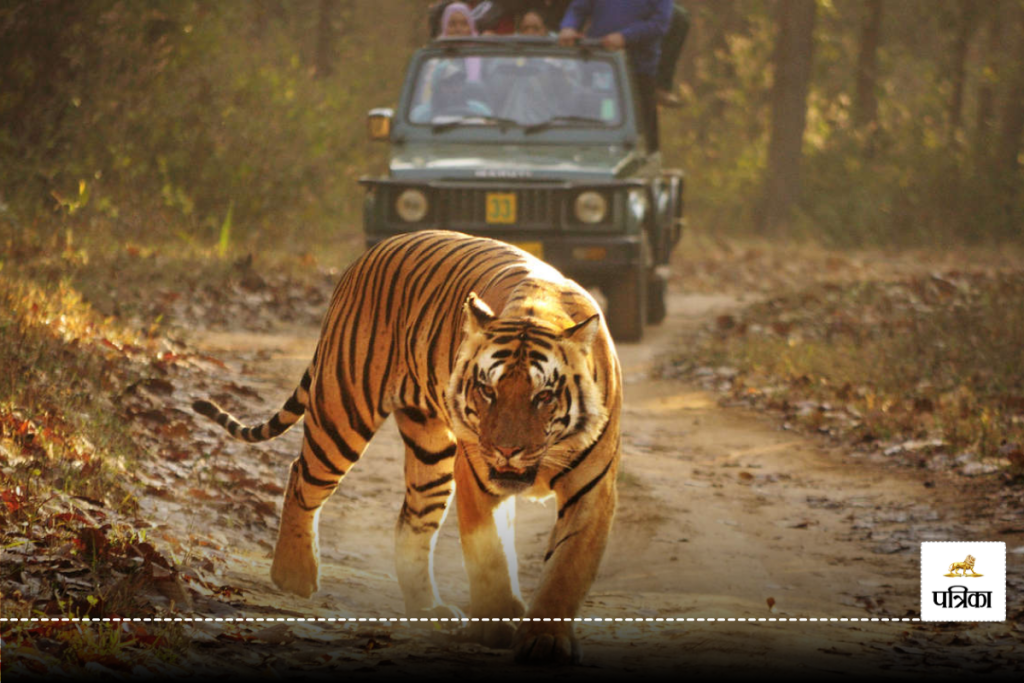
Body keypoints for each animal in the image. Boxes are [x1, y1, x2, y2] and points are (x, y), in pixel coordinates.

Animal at [192, 229, 622, 663]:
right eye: (488, 390)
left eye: (543, 396)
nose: (506, 450)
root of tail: (370, 252)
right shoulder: (478, 477)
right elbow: (491, 554)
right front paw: (498, 623)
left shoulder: (592, 489)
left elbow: (567, 566)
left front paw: (544, 639)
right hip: (343, 409)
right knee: (302, 476)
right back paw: (294, 576)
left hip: (430, 452)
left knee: (411, 522)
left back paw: (428, 610)